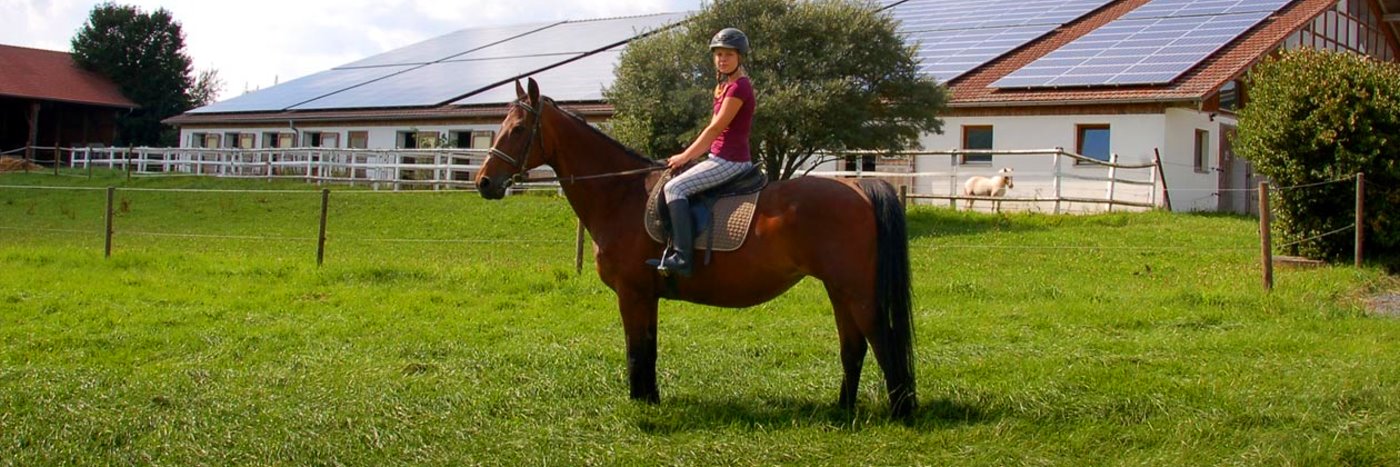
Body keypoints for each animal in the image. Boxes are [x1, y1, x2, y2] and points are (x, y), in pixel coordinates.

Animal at [476, 78, 918, 416]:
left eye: (518, 130)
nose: (484, 182)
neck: (622, 193)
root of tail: (858, 188)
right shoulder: (646, 295)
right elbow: (648, 348)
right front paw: (651, 399)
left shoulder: (631, 293)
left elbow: (636, 350)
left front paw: (640, 405)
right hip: (839, 290)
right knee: (853, 346)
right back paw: (842, 410)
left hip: (856, 291)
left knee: (882, 341)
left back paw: (900, 413)